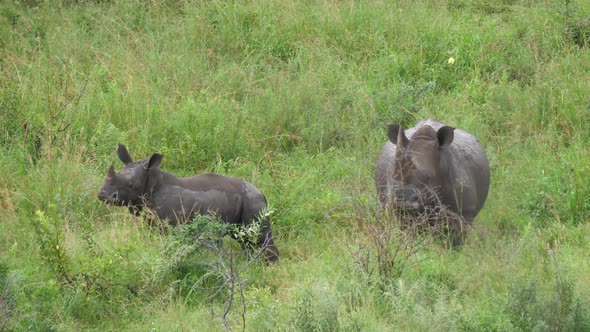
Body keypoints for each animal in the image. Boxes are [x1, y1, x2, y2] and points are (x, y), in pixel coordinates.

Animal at [99, 144, 280, 264]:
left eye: (130, 185)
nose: (102, 194)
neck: (151, 182)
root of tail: (262, 193)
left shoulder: (167, 226)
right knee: (246, 240)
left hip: (253, 202)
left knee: (259, 237)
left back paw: (268, 267)